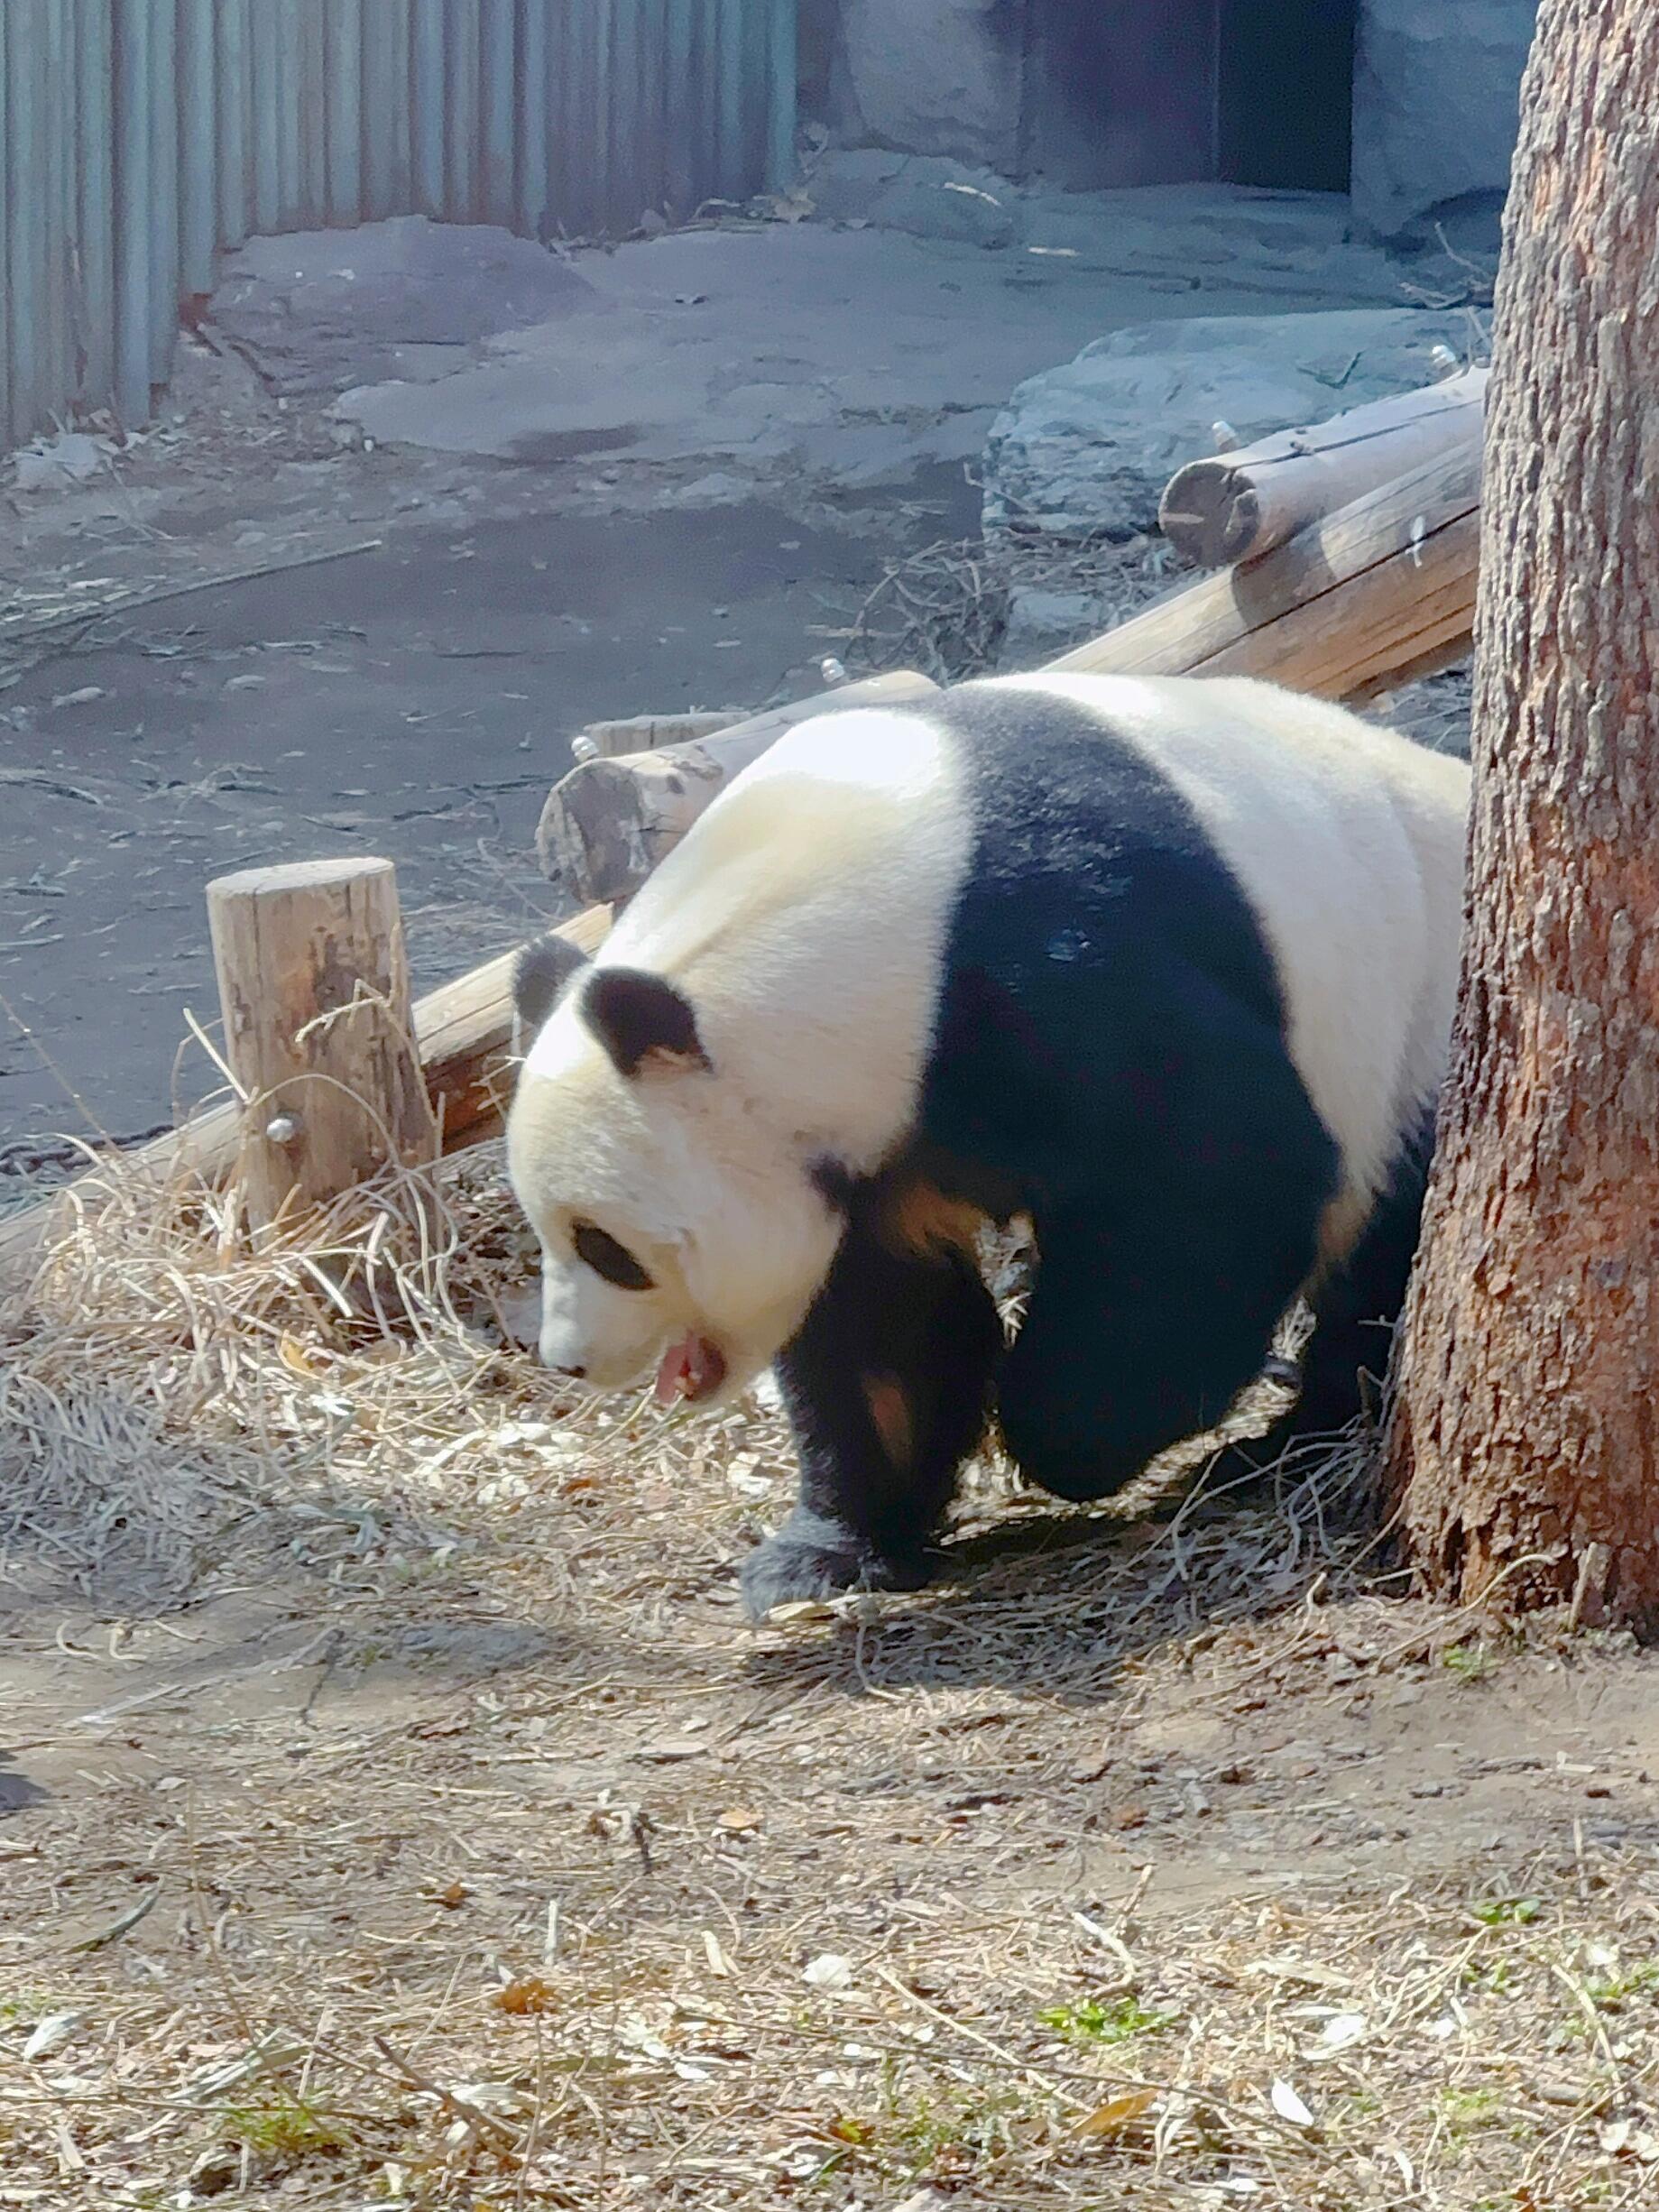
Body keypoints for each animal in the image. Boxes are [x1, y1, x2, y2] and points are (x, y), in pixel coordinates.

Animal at [506, 663, 1469, 1618]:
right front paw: (828, 1553)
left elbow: (1218, 1177)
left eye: (606, 1247)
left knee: (1388, 1254)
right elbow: (878, 1327)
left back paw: (1283, 1445)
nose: (569, 1363)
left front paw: (1069, 1436)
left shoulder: (1054, 965)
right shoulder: (877, 1139)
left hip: (1422, 1025)